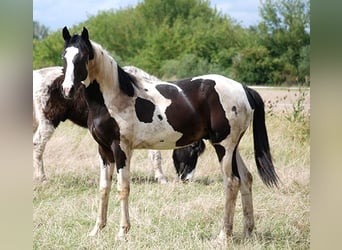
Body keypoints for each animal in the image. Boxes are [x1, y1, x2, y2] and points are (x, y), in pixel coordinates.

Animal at [60, 26, 280, 240]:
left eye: (82, 56)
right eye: (64, 57)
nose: (67, 89)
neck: (114, 98)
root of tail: (244, 89)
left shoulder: (121, 149)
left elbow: (123, 188)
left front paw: (122, 232)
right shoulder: (104, 150)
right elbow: (103, 188)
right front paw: (97, 230)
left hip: (223, 147)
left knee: (232, 183)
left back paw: (223, 235)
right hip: (232, 147)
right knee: (246, 179)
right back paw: (247, 231)